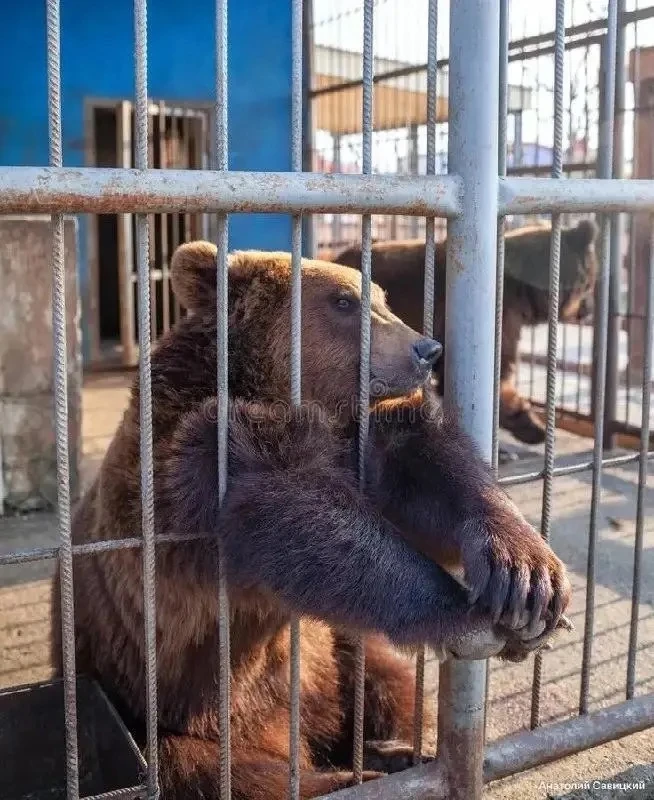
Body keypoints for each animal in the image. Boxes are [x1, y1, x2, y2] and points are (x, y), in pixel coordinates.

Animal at [50, 243, 572, 799]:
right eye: (343, 301)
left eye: (382, 297)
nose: (426, 349)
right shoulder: (191, 455)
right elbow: (309, 522)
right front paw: (472, 618)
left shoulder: (364, 438)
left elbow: (427, 471)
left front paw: (527, 579)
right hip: (170, 701)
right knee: (205, 768)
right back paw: (348, 774)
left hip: (325, 660)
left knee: (382, 679)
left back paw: (401, 749)